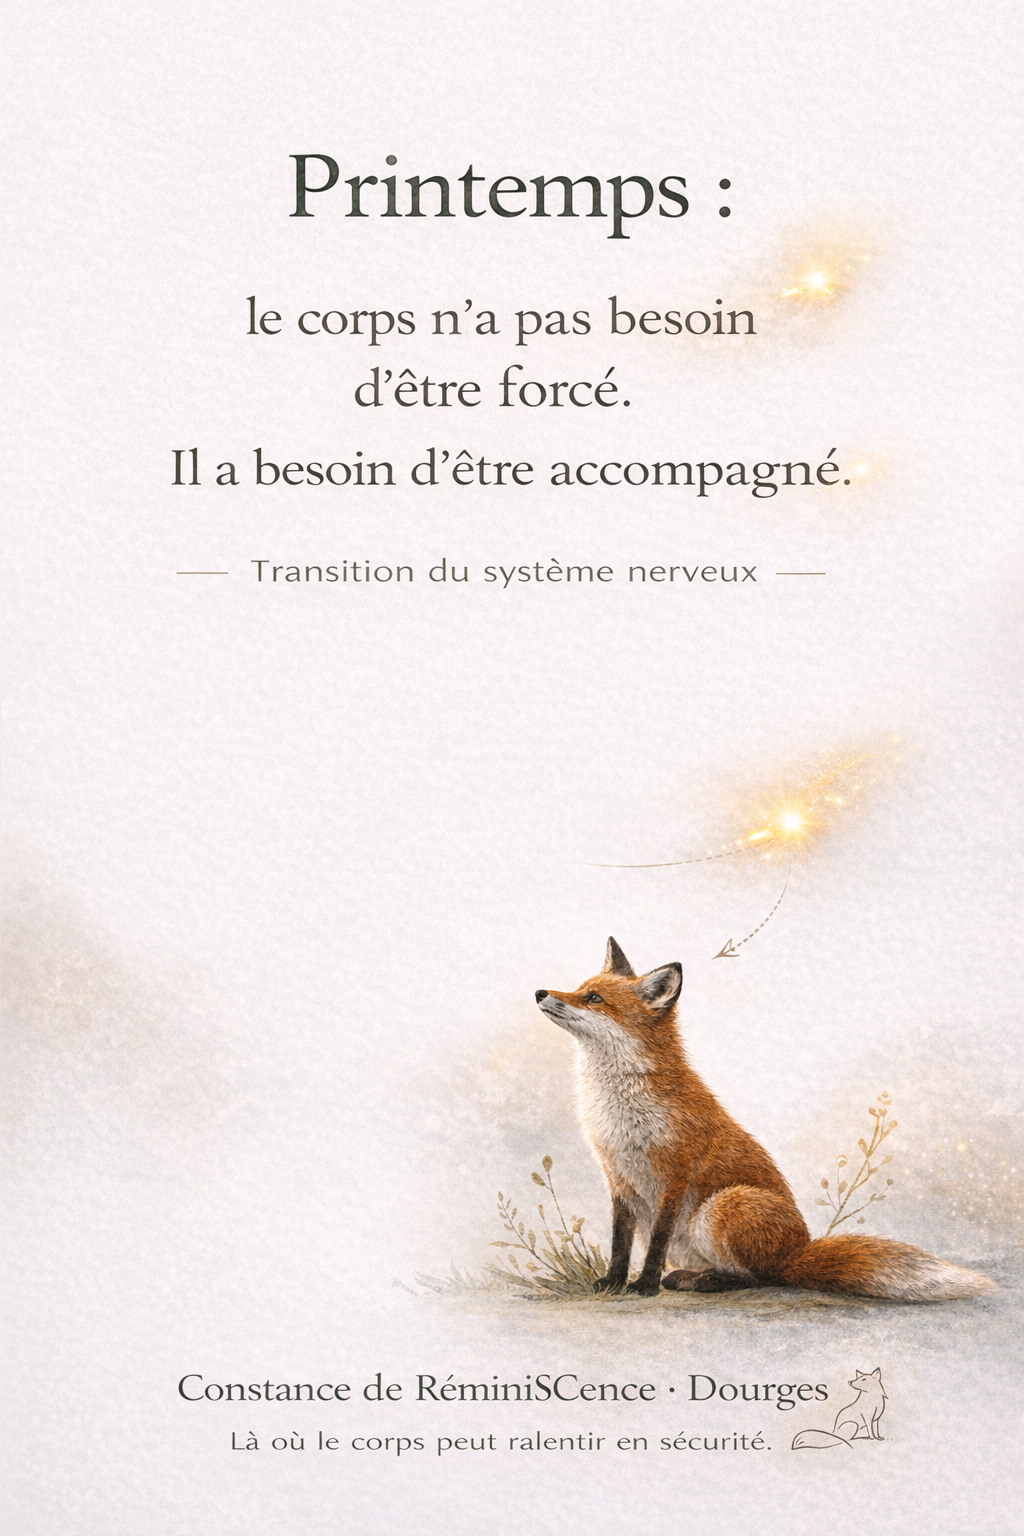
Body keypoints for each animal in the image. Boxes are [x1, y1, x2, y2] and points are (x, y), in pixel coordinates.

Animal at [535, 938, 995, 1301]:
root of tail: (798, 1250)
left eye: (594, 998)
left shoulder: (674, 1173)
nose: (539, 991)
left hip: (722, 1208)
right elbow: (620, 1242)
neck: (616, 1104)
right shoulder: (617, 1176)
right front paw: (613, 1282)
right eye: (579, 989)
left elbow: (656, 1242)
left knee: (763, 1277)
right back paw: (690, 1278)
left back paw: (706, 1282)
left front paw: (643, 1285)